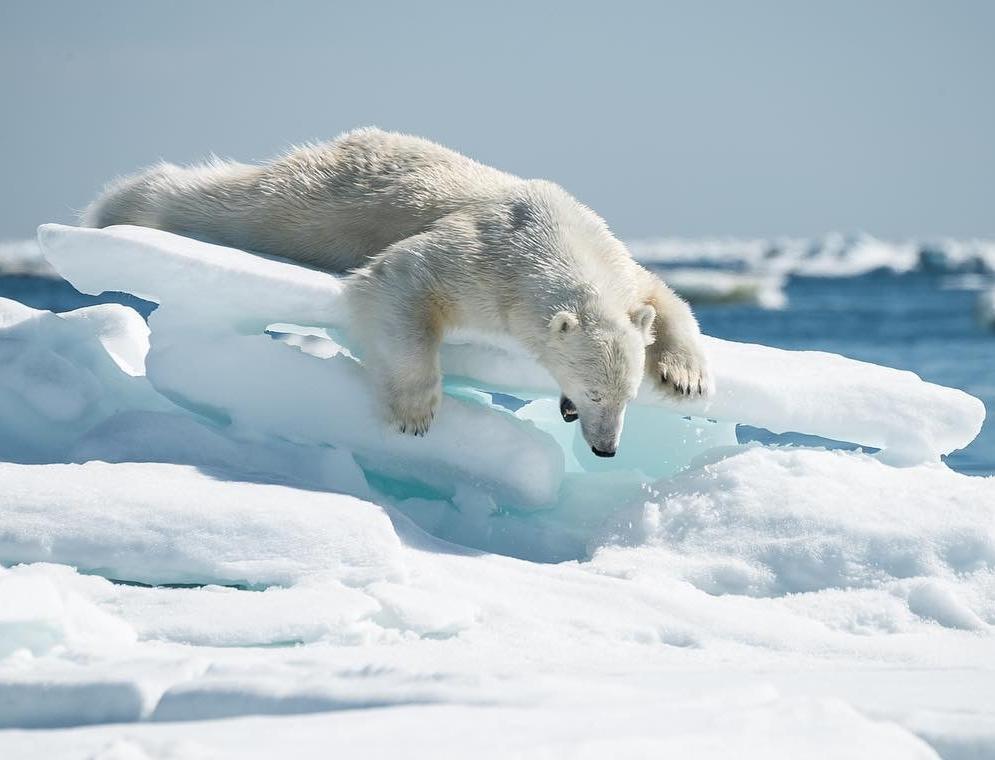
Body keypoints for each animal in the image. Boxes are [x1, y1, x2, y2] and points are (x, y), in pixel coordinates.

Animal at [83, 127, 708, 454]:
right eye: (595, 392)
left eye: (628, 396)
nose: (606, 448)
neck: (554, 232)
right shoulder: (490, 261)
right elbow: (403, 277)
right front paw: (414, 412)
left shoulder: (616, 259)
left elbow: (664, 295)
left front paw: (687, 375)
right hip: (318, 202)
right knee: (235, 202)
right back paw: (120, 206)